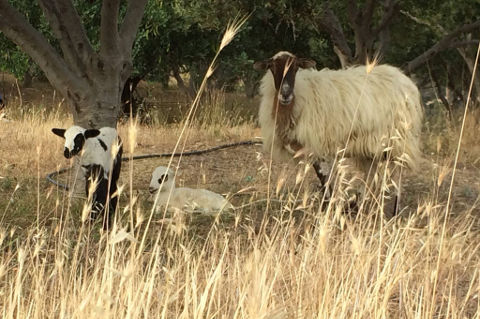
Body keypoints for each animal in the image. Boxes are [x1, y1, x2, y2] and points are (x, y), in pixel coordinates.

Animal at [253, 50, 422, 210]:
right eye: (272, 67)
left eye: (296, 67)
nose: (285, 94)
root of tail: (404, 79)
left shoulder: (318, 144)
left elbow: (323, 177)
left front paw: (327, 205)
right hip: (373, 145)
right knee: (370, 174)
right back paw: (356, 205)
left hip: (399, 139)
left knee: (398, 173)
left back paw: (394, 210)